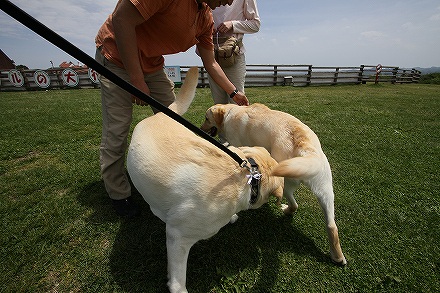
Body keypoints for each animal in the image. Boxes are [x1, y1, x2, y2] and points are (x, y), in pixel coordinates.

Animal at [200, 102, 348, 264]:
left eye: (206, 118)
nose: (200, 128)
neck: (230, 113)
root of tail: (305, 148)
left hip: (286, 184)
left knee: (294, 205)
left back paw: (285, 209)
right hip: (326, 189)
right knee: (331, 225)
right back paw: (338, 257)